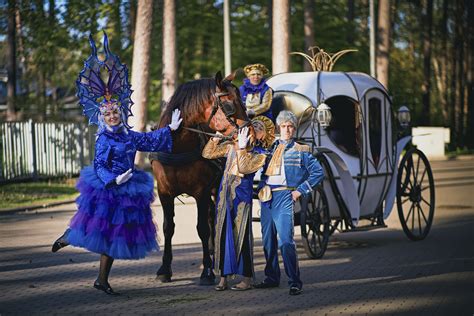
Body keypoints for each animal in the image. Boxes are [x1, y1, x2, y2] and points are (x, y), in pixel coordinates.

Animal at [152, 71, 250, 284]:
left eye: (243, 102)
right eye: (230, 105)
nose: (250, 132)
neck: (177, 147)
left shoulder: (200, 192)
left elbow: (202, 228)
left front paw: (206, 271)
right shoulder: (164, 193)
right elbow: (168, 228)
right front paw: (164, 268)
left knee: (212, 215)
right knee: (212, 214)